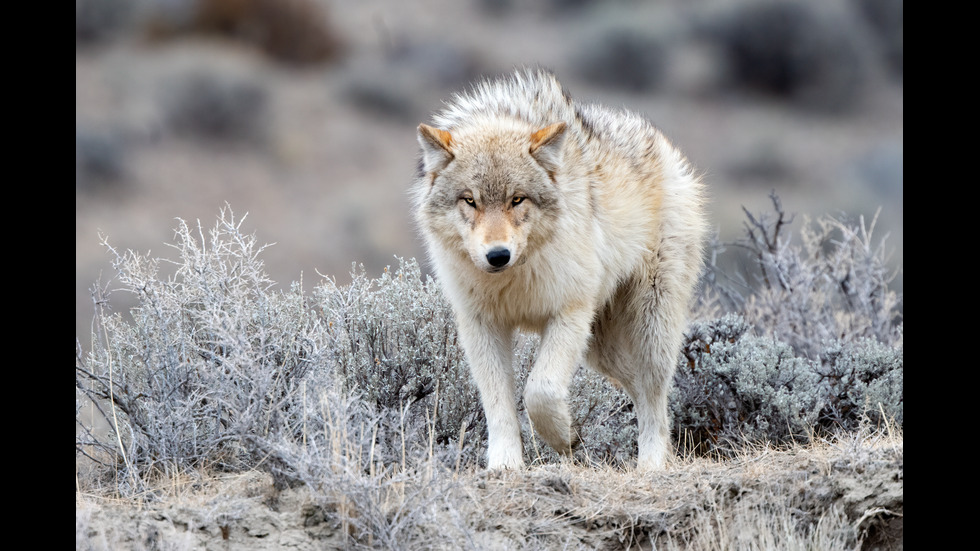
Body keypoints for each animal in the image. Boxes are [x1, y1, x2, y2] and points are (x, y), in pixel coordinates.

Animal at [412, 69, 704, 472]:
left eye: (517, 199)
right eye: (470, 201)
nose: (498, 255)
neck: (513, 280)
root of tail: (664, 145)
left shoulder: (570, 313)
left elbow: (541, 390)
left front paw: (562, 437)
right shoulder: (481, 325)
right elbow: (498, 405)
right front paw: (505, 465)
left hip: (649, 332)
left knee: (654, 397)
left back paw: (652, 464)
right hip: (602, 350)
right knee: (635, 388)